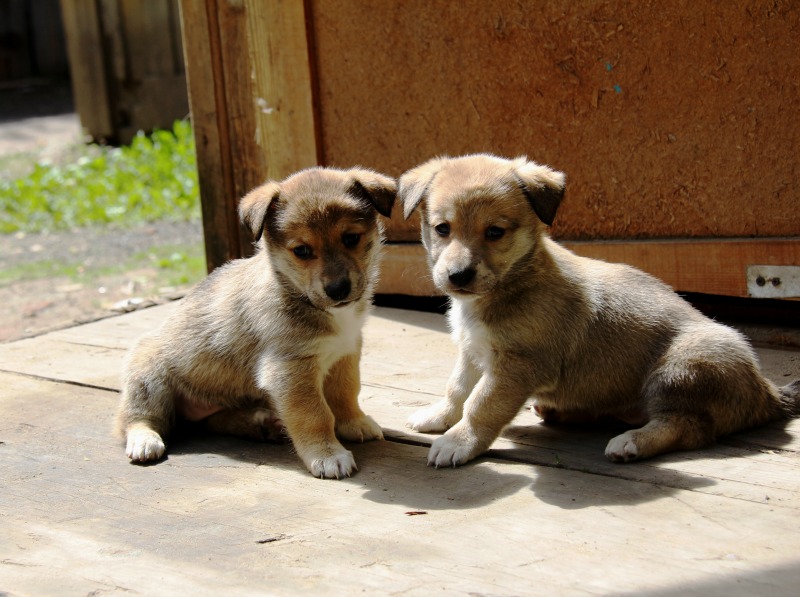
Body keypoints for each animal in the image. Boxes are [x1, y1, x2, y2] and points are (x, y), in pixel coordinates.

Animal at [115, 166, 396, 480]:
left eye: (351, 238)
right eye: (302, 251)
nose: (338, 290)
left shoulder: (345, 353)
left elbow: (346, 393)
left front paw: (353, 422)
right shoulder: (290, 369)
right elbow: (315, 414)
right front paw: (327, 454)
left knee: (215, 421)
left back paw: (262, 423)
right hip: (148, 377)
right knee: (135, 417)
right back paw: (144, 439)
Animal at [400, 152, 800, 466]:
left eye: (495, 232)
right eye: (442, 229)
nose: (458, 276)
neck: (511, 285)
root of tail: (766, 392)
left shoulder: (517, 365)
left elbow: (481, 404)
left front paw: (458, 441)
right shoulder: (472, 351)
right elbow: (457, 388)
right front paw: (439, 416)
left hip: (681, 368)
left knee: (688, 427)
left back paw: (632, 442)